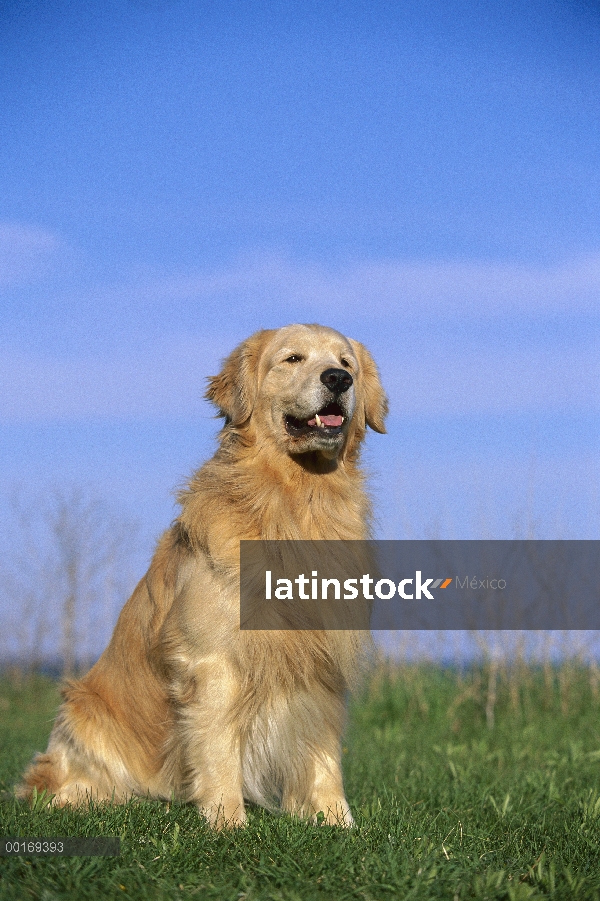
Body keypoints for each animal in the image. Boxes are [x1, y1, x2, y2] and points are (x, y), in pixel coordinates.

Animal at [18, 326, 386, 828]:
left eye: (346, 363)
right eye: (293, 359)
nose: (337, 380)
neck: (294, 501)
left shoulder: (322, 660)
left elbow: (323, 751)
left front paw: (336, 821)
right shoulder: (213, 659)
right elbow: (217, 749)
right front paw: (227, 822)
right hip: (83, 712)